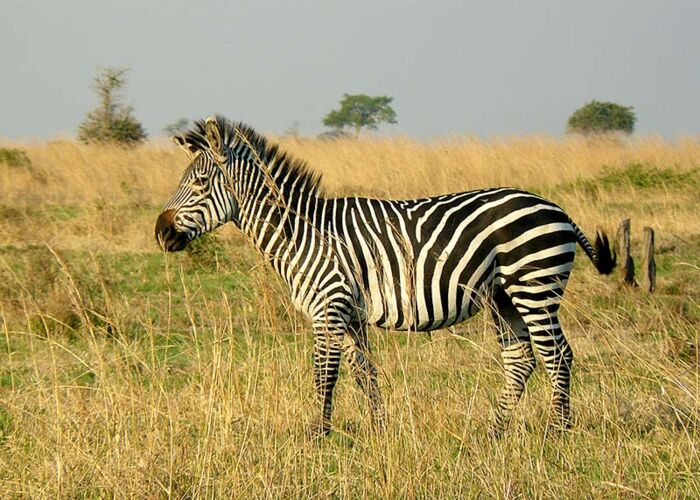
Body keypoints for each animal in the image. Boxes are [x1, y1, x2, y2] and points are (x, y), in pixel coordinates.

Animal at [153, 117, 612, 438]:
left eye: (199, 183)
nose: (160, 233)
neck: (304, 234)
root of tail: (555, 207)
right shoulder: (350, 315)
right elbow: (364, 374)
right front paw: (378, 431)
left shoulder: (328, 308)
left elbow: (324, 374)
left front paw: (317, 436)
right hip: (504, 297)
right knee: (521, 359)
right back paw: (495, 432)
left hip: (534, 287)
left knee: (557, 355)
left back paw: (557, 432)